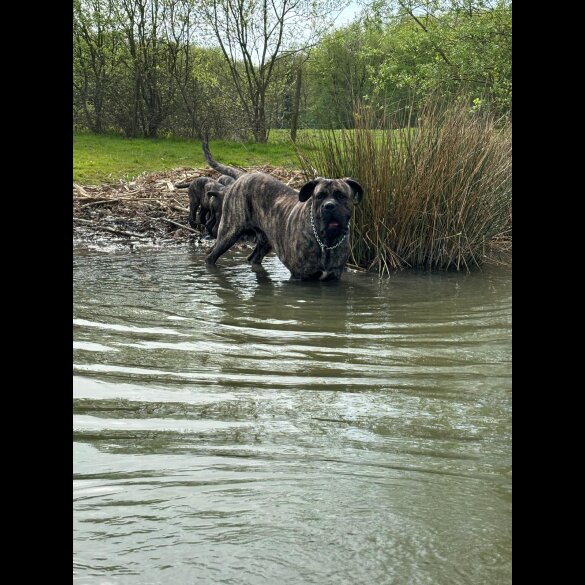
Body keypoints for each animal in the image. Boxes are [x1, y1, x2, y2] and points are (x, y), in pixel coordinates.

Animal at [204, 169, 360, 280]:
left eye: (340, 195)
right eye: (320, 196)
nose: (329, 206)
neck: (327, 241)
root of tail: (244, 175)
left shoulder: (334, 277)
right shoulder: (301, 277)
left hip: (266, 241)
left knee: (253, 258)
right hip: (229, 233)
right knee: (211, 256)